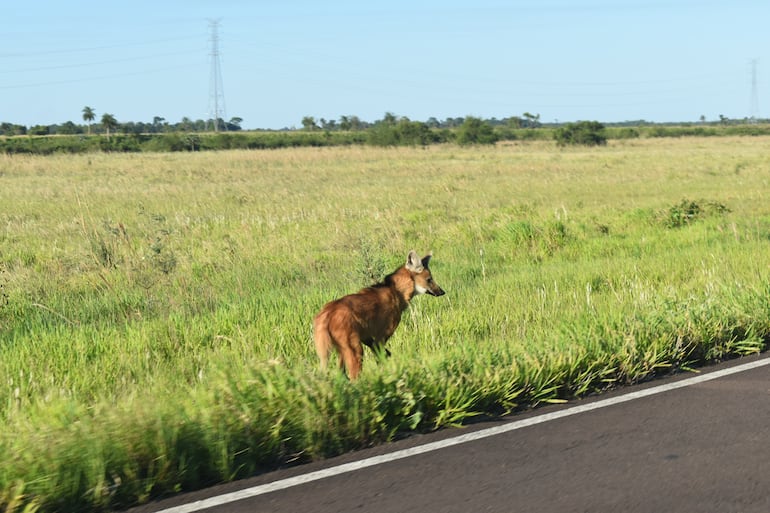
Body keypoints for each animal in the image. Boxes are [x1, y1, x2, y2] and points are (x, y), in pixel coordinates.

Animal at [312, 250, 444, 378]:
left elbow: (382, 352)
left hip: (339, 348)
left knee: (340, 373)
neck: (396, 292)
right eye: (429, 279)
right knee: (354, 375)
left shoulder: (367, 336)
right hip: (355, 349)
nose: (442, 292)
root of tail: (326, 312)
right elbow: (381, 358)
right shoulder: (382, 335)